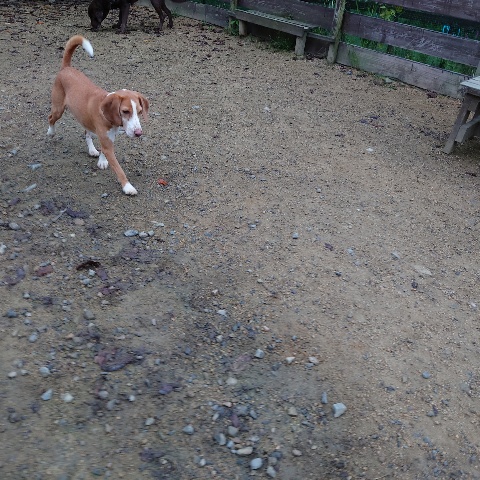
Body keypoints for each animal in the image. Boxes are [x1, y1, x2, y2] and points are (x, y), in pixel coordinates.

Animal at [47, 35, 149, 195]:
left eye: (139, 112)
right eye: (125, 111)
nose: (139, 133)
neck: (110, 119)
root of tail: (66, 68)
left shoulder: (109, 138)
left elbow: (103, 150)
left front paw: (102, 160)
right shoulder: (107, 143)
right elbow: (119, 169)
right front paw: (127, 186)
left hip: (84, 119)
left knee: (86, 133)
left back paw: (92, 150)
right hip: (58, 109)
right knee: (51, 118)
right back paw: (50, 132)